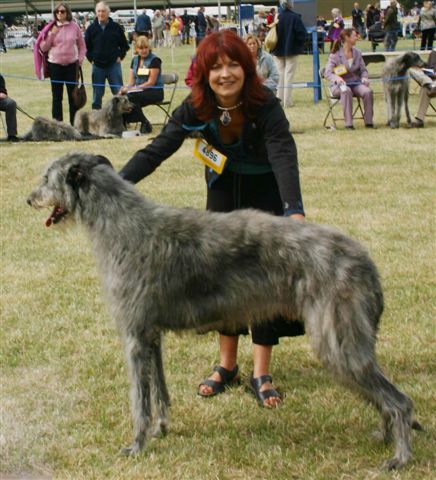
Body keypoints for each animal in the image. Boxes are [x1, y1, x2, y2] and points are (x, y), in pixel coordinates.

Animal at [28, 153, 422, 468]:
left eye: (47, 177)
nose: (28, 198)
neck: (119, 222)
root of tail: (365, 260)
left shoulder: (135, 336)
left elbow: (139, 400)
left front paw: (136, 444)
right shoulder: (151, 336)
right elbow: (160, 392)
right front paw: (162, 429)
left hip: (337, 341)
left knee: (399, 401)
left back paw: (399, 457)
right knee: (384, 397)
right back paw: (383, 437)